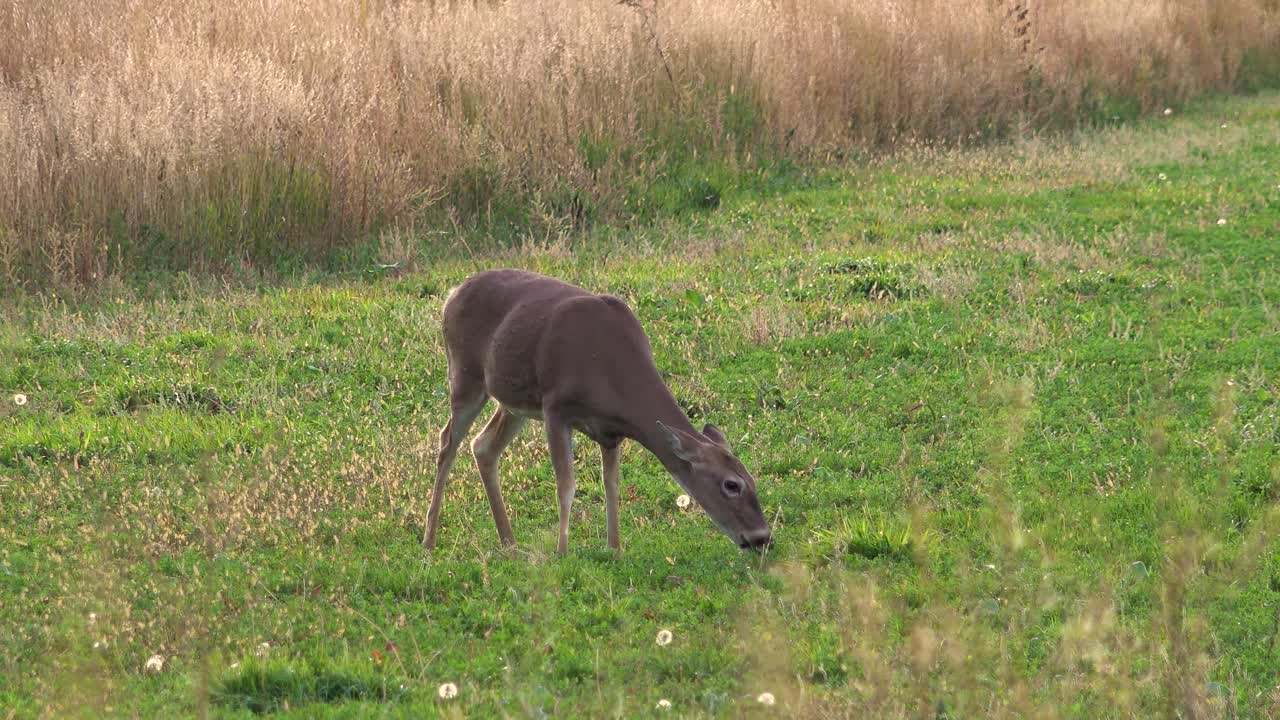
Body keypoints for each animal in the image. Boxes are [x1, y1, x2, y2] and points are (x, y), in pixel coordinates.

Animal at [422, 268, 773, 555]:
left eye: (752, 479)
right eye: (732, 485)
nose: (762, 537)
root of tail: (452, 293)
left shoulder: (610, 433)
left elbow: (612, 485)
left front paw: (614, 548)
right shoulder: (555, 407)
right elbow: (566, 485)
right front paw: (562, 553)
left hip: (513, 400)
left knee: (483, 446)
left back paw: (509, 542)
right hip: (465, 375)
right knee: (447, 443)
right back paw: (429, 540)